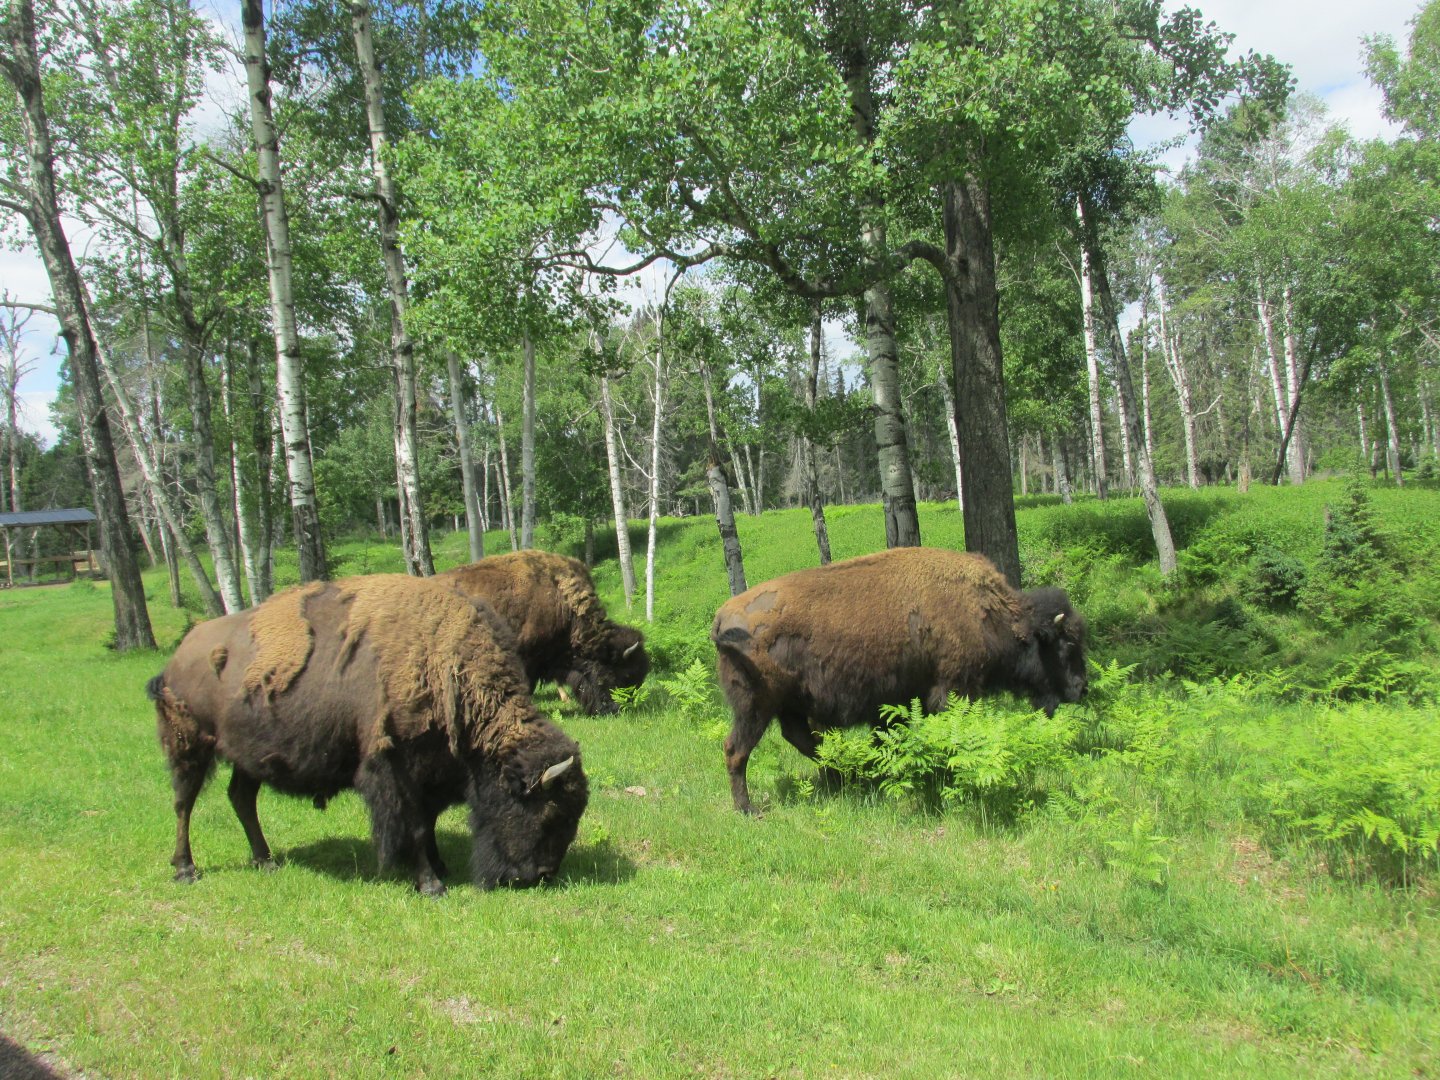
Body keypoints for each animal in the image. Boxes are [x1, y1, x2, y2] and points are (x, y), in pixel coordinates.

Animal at [149, 574, 588, 894]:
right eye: (551, 812)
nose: (541, 874)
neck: (447, 665)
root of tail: (178, 656)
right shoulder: (397, 771)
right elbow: (414, 825)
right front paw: (431, 884)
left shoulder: (432, 774)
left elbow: (428, 821)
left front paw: (439, 865)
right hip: (190, 747)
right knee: (184, 804)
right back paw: (186, 870)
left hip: (248, 756)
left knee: (241, 798)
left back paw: (265, 860)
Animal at [711, 547, 1087, 814]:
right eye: (1066, 644)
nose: (1082, 687)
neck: (990, 613)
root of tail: (722, 617)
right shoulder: (954, 689)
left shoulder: (897, 701)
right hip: (755, 707)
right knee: (736, 750)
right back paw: (749, 809)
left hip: (788, 705)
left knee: (804, 740)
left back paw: (848, 777)